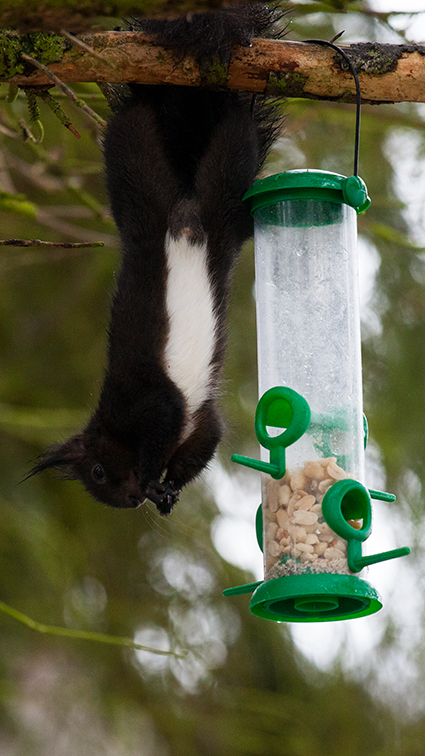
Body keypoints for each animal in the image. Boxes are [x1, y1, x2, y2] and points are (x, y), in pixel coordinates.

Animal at [26, 4, 284, 512]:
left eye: (98, 470)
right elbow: (206, 440)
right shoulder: (200, 422)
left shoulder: (146, 396)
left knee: (141, 129)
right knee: (234, 145)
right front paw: (166, 491)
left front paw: (151, 480)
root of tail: (182, 206)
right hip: (223, 205)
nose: (130, 501)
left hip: (144, 178)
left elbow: (165, 414)